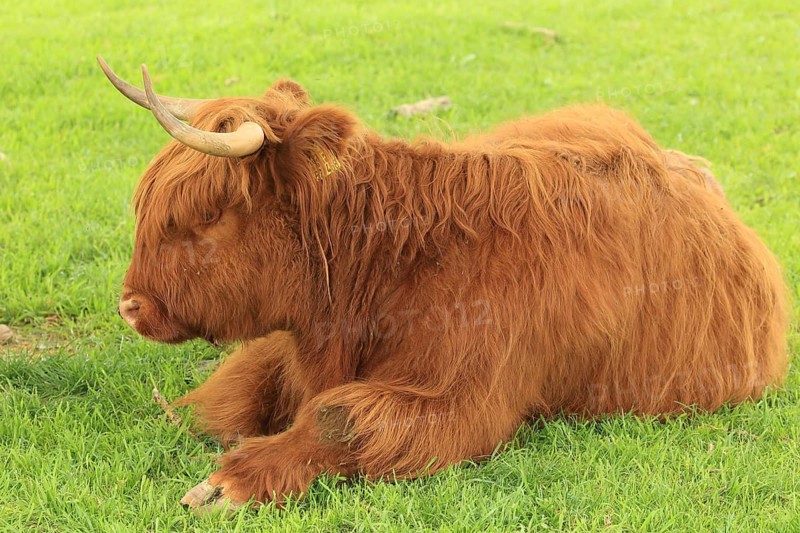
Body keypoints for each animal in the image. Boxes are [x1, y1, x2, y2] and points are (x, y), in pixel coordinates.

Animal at [99, 57, 789, 513]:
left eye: (206, 215)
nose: (130, 306)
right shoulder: (290, 337)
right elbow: (232, 392)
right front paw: (181, 415)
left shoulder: (463, 400)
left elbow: (340, 419)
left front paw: (228, 482)